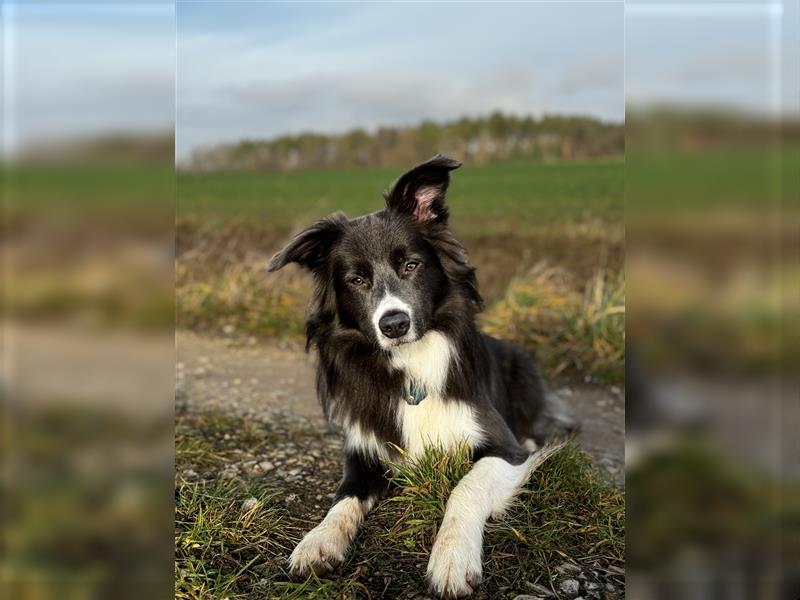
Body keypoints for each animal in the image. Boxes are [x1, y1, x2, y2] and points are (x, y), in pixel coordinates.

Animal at [268, 154, 576, 596]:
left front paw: (452, 557)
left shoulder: (504, 448)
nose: (394, 324)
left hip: (523, 369)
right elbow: (342, 499)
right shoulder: (364, 452)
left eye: (411, 265)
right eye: (356, 280)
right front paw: (318, 540)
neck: (409, 365)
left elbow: (466, 488)